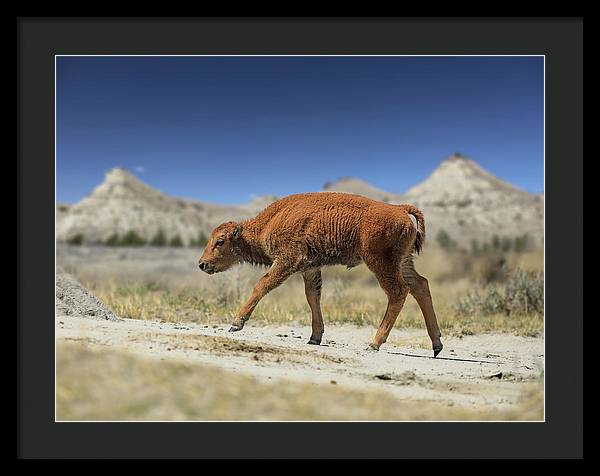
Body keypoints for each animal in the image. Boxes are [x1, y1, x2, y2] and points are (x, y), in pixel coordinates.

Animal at [199, 192, 442, 356]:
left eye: (220, 241)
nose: (202, 264)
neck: (269, 223)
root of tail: (400, 209)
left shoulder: (287, 262)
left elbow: (262, 285)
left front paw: (236, 323)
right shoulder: (310, 269)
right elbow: (312, 298)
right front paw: (314, 338)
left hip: (381, 263)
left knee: (398, 291)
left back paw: (374, 343)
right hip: (403, 262)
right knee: (420, 285)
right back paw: (437, 344)